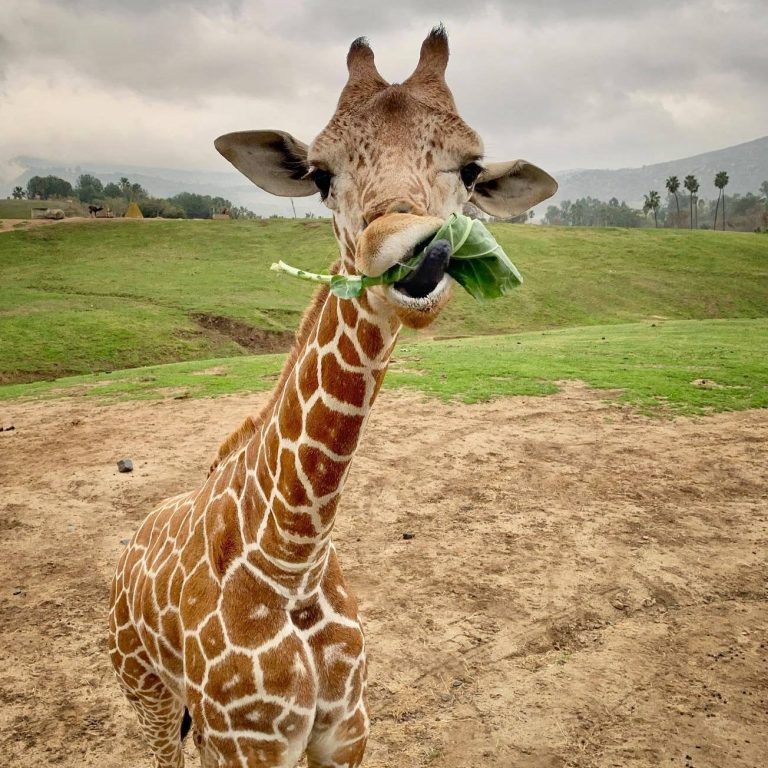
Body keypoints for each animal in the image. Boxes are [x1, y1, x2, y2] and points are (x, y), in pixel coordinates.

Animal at [108, 26, 556, 768]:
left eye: (470, 169)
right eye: (320, 175)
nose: (413, 255)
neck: (294, 560)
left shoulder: (347, 730)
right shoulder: (246, 744)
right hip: (145, 693)